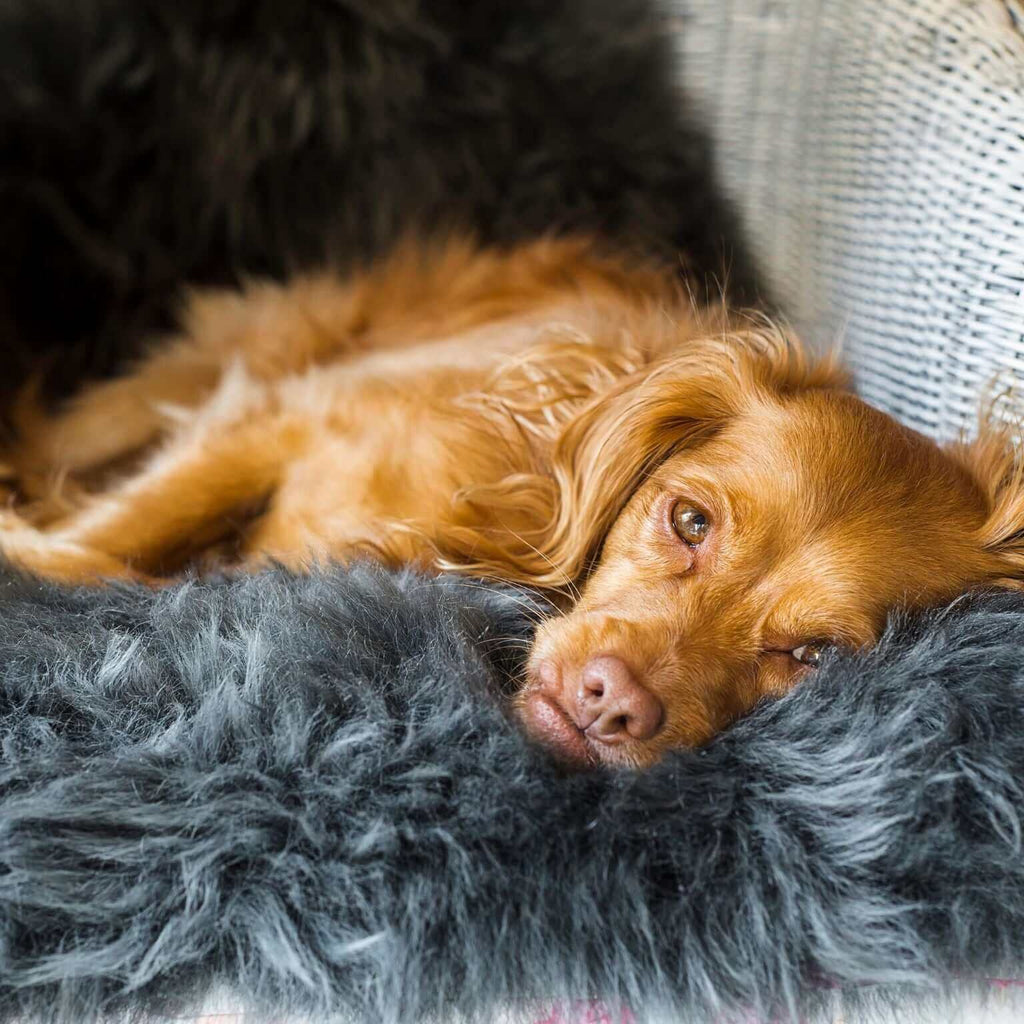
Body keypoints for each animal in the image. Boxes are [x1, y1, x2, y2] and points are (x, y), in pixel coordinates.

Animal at [2, 237, 1024, 770]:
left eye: (812, 656)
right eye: (690, 521)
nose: (613, 703)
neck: (505, 498)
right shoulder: (271, 417)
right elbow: (100, 547)